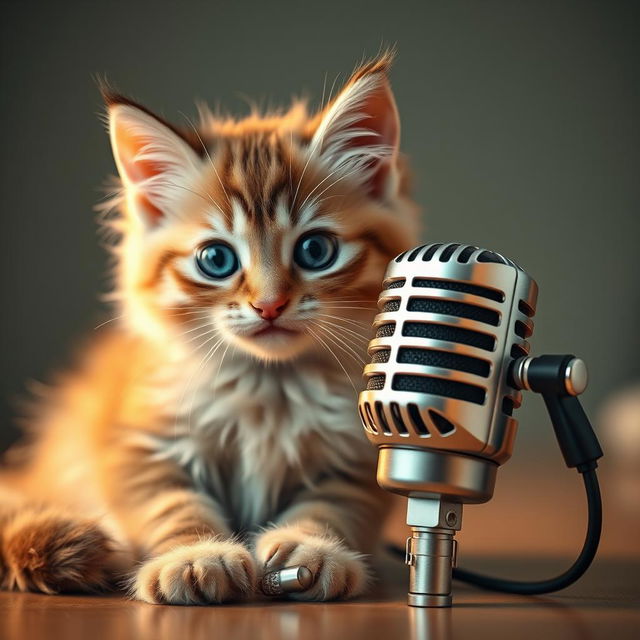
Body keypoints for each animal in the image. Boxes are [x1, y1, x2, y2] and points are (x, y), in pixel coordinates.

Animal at [0, 52, 420, 604]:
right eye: (216, 260)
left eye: (315, 250)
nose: (269, 305)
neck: (268, 386)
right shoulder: (137, 445)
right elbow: (172, 506)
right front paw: (196, 555)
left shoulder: (355, 457)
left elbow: (332, 508)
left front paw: (312, 550)